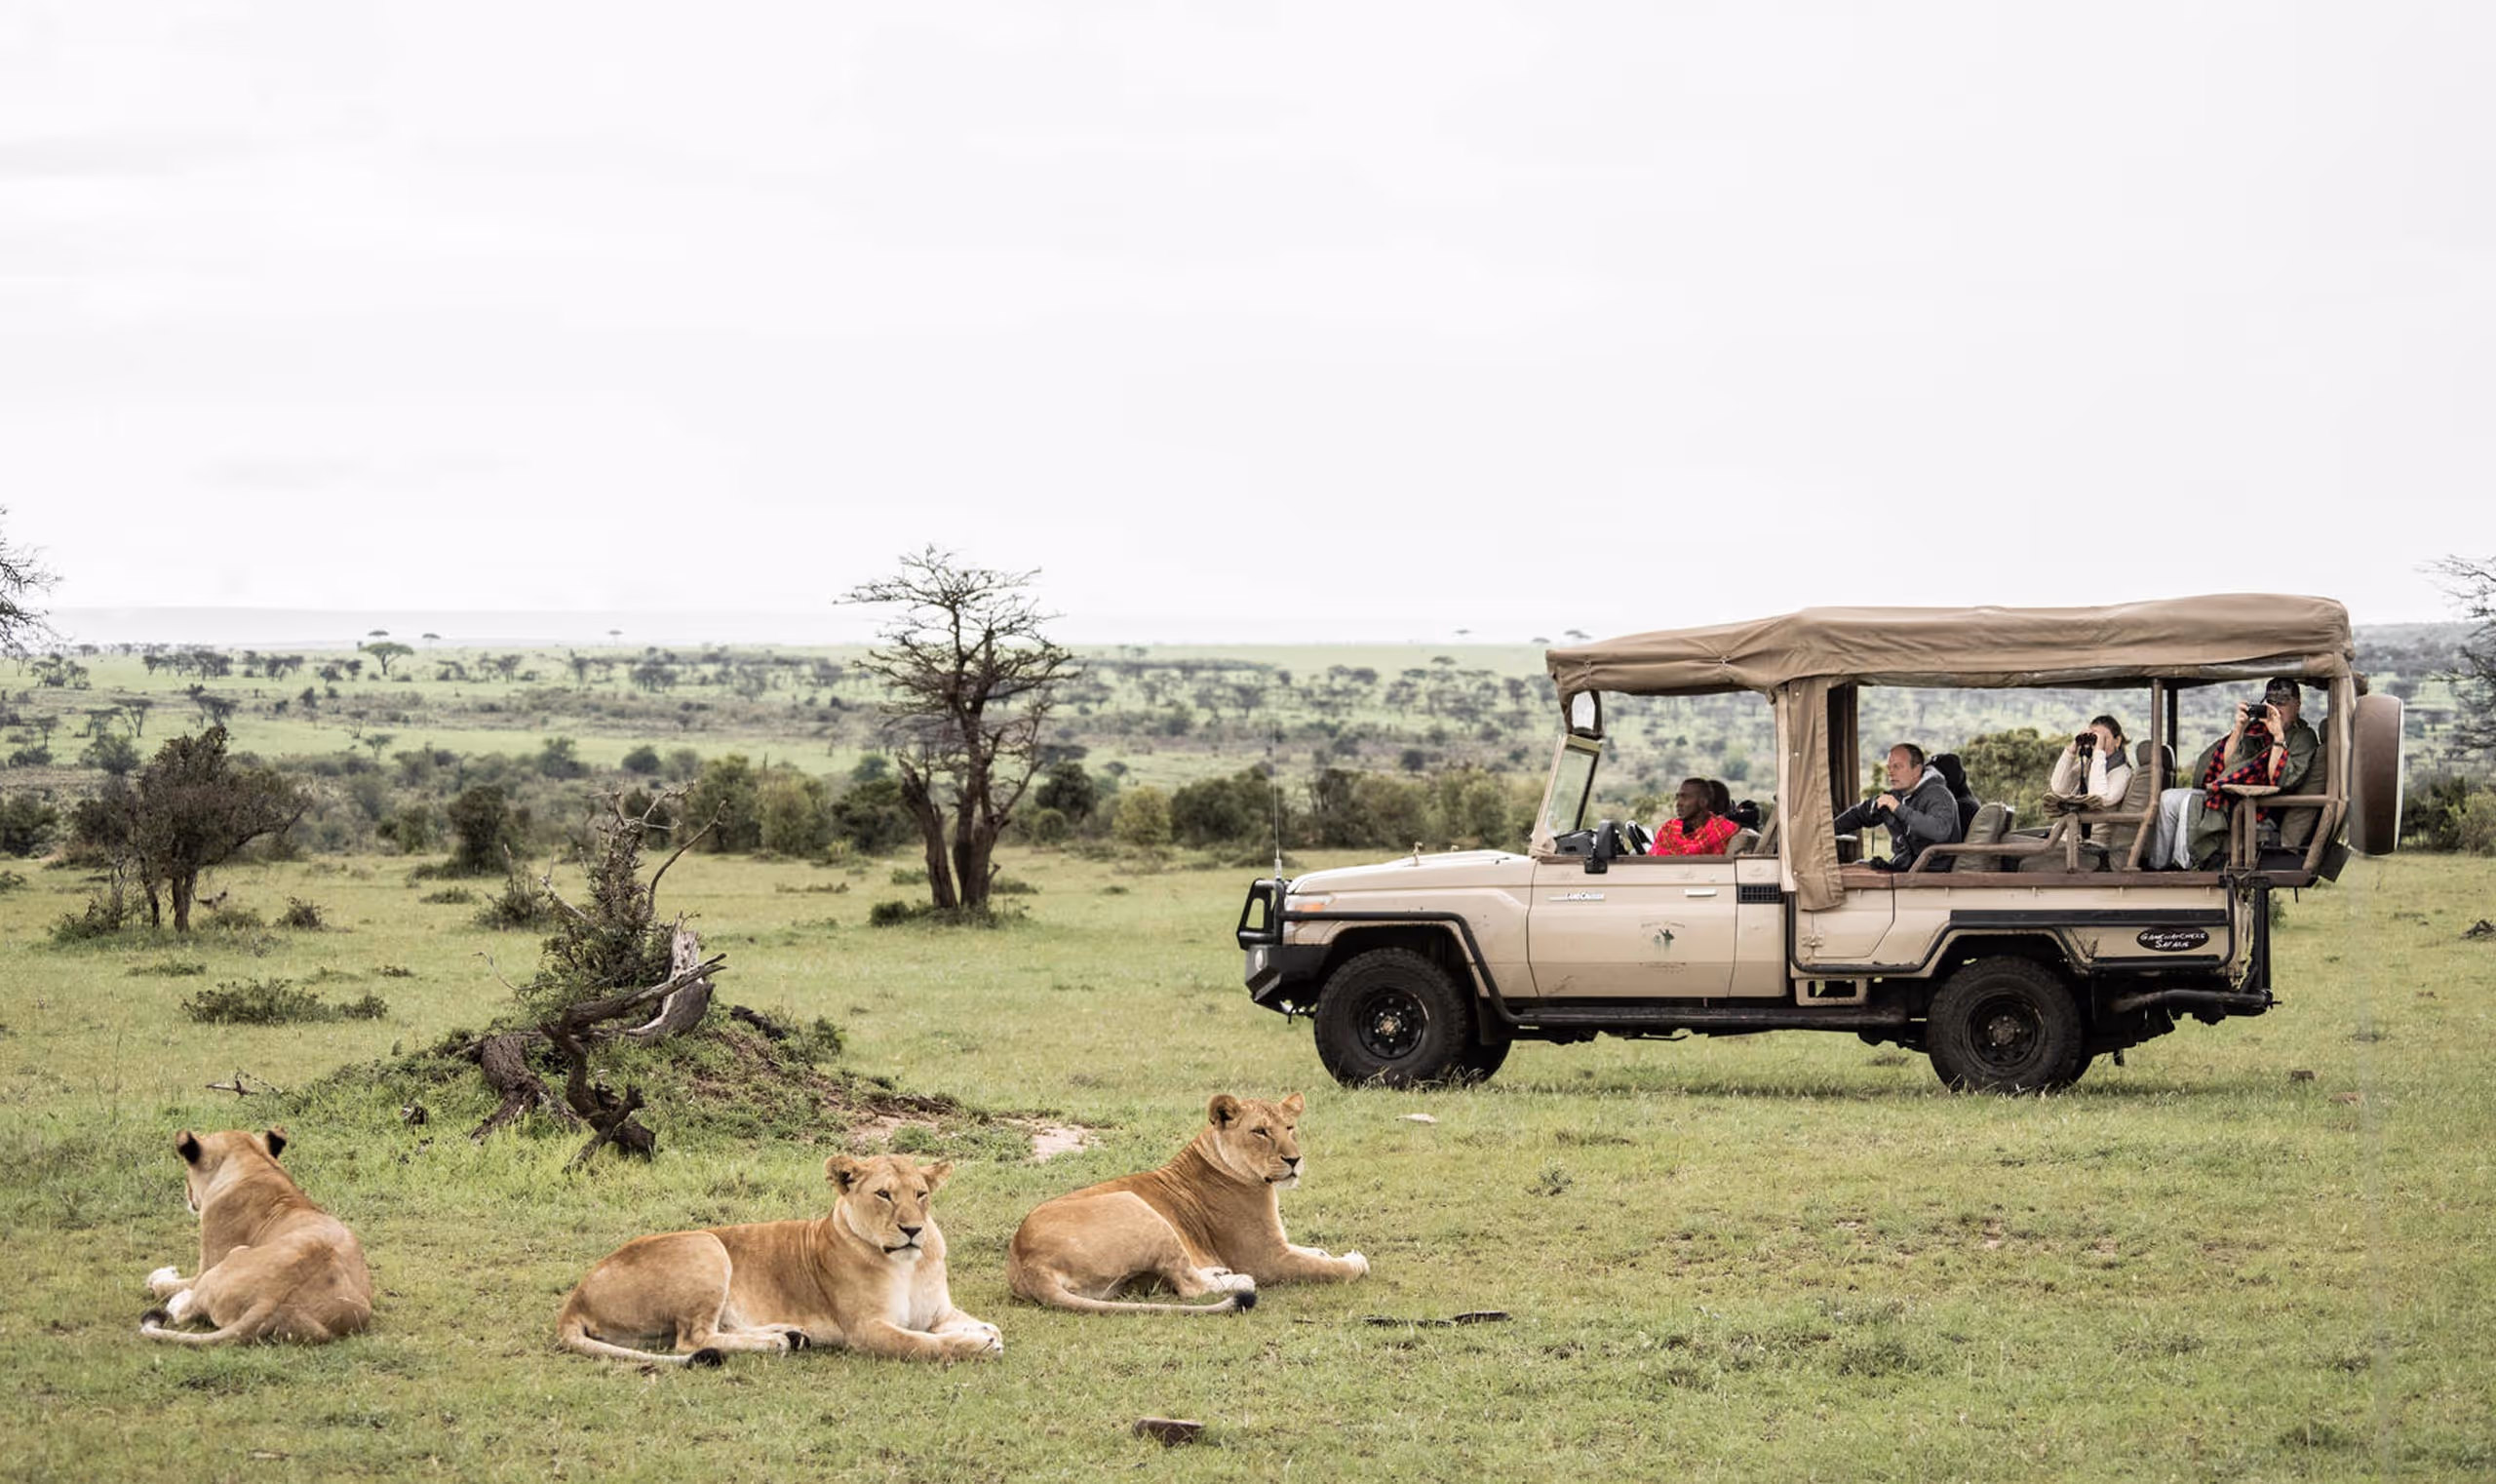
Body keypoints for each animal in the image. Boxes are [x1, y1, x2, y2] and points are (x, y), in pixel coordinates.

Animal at [140, 1127, 373, 1347]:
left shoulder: (205, 1267)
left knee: (183, 1311)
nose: (188, 1196)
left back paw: (177, 1300)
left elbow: (158, 1285)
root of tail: (271, 1302)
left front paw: (163, 1274)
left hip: (232, 1257)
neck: (255, 1162)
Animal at [555, 1153, 1002, 1365]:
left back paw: (789, 1334)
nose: (913, 1230)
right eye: (884, 1195)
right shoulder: (866, 1329)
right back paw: (775, 1343)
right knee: (693, 1339)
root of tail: (575, 1299)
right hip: (706, 1244)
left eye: (921, 1194)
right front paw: (976, 1345)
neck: (908, 1264)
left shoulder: (937, 1312)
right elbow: (923, 1344)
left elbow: (974, 1324)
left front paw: (984, 1331)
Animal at [1007, 1092, 1367, 1315]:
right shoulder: (1267, 1258)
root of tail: (1027, 1260)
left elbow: (1312, 1251)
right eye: (1260, 1132)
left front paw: (1336, 1253)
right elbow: (1326, 1268)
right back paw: (1240, 1281)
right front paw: (1354, 1263)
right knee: (1189, 1286)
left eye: (1290, 1127)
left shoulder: (1278, 1244)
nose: (1294, 1159)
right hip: (1138, 1207)